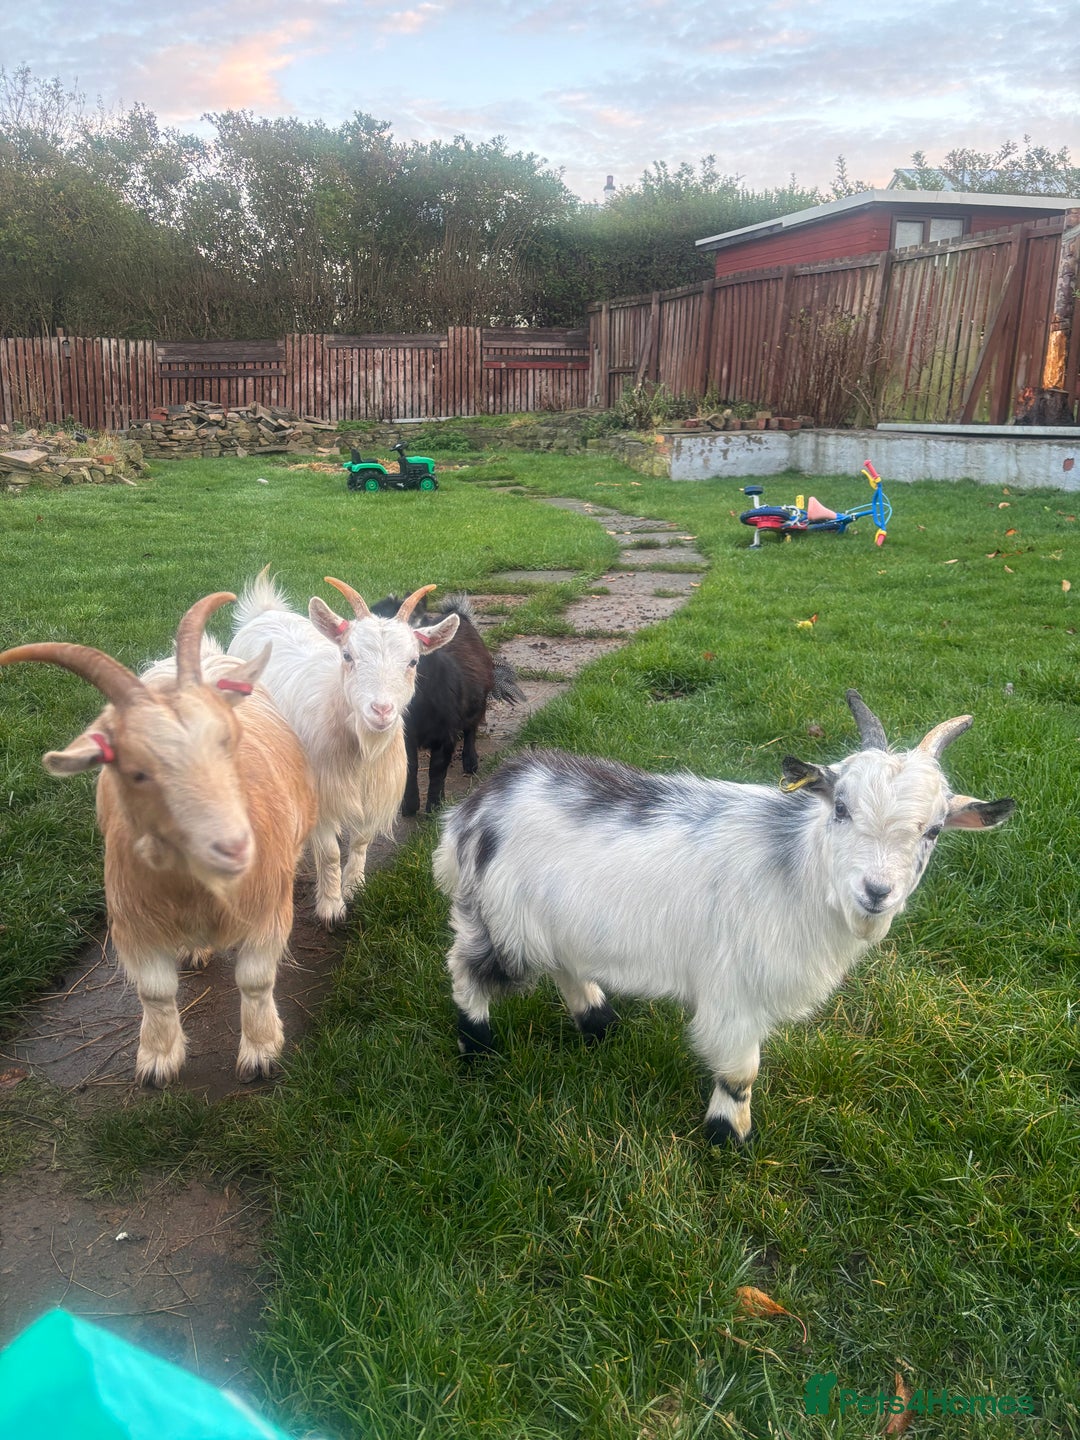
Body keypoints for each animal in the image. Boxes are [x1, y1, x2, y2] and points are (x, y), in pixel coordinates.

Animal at [0, 594, 318, 1087]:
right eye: (136, 772)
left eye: (230, 739)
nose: (234, 848)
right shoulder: (133, 923)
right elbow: (154, 992)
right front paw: (158, 1059)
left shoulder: (268, 907)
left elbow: (255, 980)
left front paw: (261, 1051)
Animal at [227, 570, 459, 926]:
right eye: (348, 655)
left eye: (413, 661)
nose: (381, 710)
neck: (361, 751)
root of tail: (265, 612)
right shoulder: (321, 793)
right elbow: (330, 852)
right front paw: (332, 906)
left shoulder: (371, 791)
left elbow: (361, 841)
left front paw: (354, 888)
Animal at [370, 592, 526, 815]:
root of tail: (459, 615)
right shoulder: (406, 736)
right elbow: (411, 767)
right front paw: (410, 807)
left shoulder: (446, 735)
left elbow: (437, 770)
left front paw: (434, 807)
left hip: (478, 702)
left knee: (471, 729)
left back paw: (470, 762)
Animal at [432, 691, 1015, 1144]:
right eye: (841, 808)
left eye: (933, 831)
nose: (876, 891)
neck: (798, 870)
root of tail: (473, 808)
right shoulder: (734, 989)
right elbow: (740, 1071)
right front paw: (729, 1136)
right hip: (500, 920)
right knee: (465, 968)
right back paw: (477, 1048)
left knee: (565, 966)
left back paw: (599, 1024)